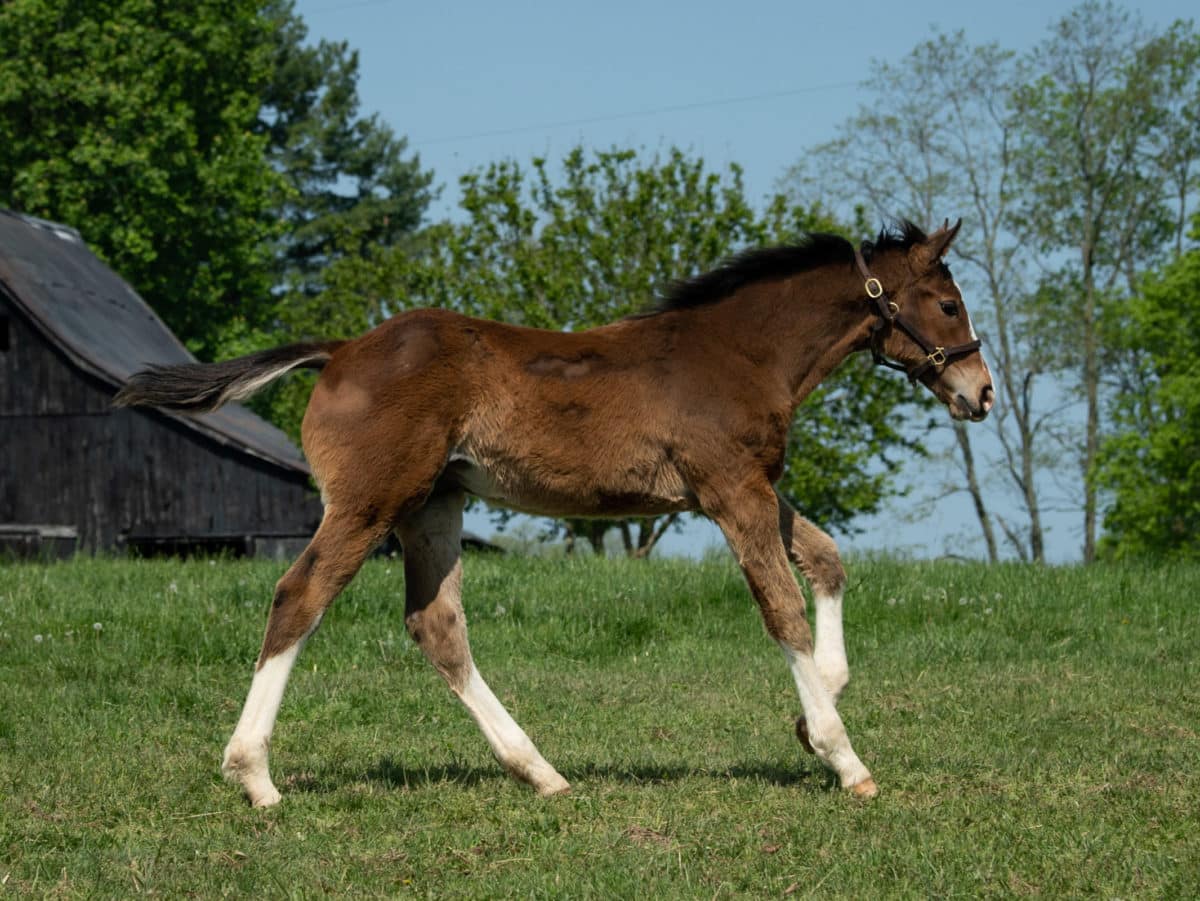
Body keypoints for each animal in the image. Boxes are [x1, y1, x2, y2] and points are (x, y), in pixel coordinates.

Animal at [114, 217, 993, 801]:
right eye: (949, 304)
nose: (979, 393)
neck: (740, 353)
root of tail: (340, 350)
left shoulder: (747, 487)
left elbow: (828, 560)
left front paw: (814, 720)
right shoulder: (731, 491)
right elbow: (782, 607)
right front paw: (844, 758)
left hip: (433, 507)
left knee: (436, 626)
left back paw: (541, 771)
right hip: (370, 502)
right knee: (300, 596)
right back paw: (255, 776)